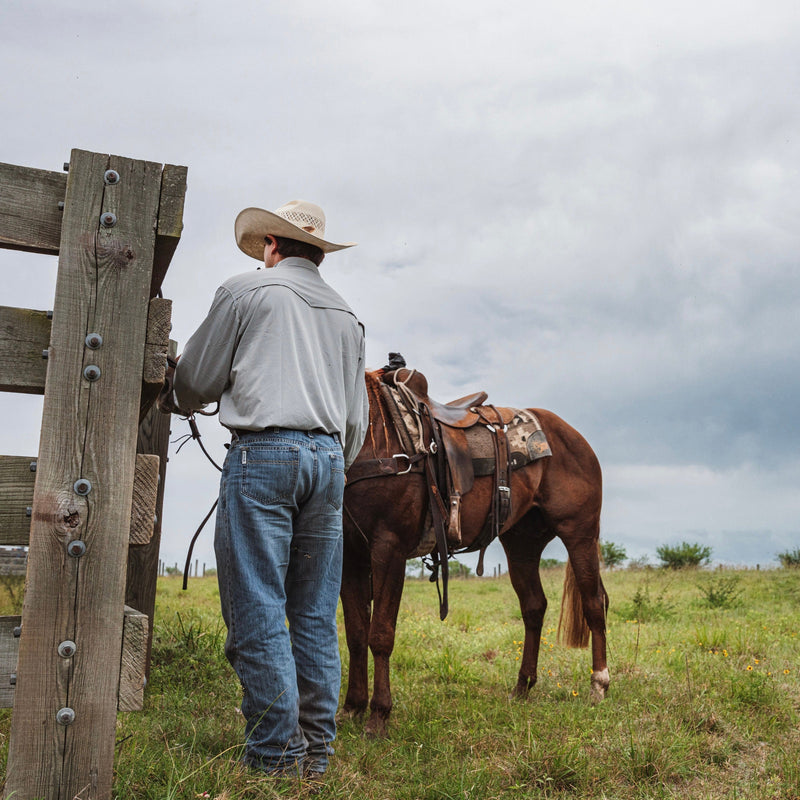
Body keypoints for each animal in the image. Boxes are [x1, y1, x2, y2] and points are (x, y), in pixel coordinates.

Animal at [340, 366, 608, 736]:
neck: (374, 437)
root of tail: (573, 436)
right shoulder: (348, 556)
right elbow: (355, 634)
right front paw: (352, 707)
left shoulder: (388, 549)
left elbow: (379, 634)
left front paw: (379, 715)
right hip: (522, 545)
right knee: (534, 607)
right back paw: (523, 686)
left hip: (579, 534)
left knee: (594, 604)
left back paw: (599, 684)